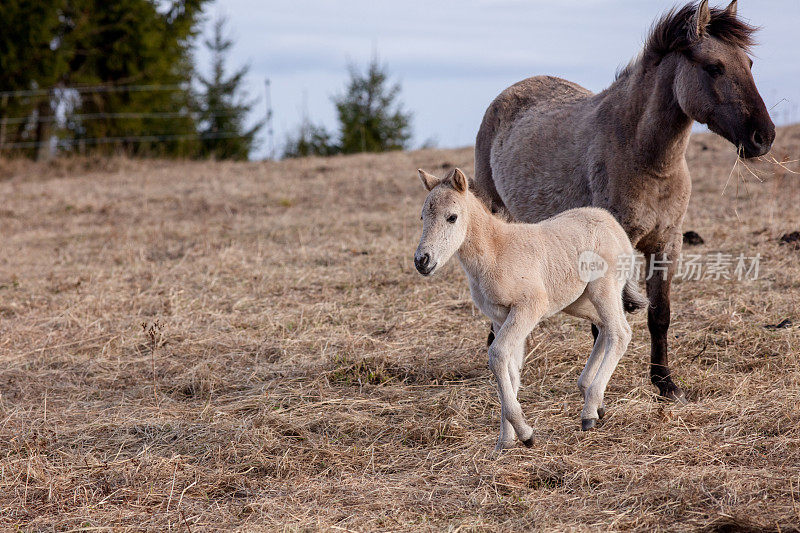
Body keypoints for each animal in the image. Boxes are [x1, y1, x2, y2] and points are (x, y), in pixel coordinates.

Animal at [416, 167, 648, 448]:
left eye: (452, 217)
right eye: (422, 217)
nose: (422, 261)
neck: (496, 252)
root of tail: (613, 224)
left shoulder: (529, 307)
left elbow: (497, 355)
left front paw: (524, 434)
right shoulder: (500, 316)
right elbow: (510, 368)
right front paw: (506, 440)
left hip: (603, 288)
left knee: (620, 332)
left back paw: (590, 410)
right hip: (577, 301)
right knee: (605, 326)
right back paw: (593, 398)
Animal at [476, 0, 776, 400]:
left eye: (750, 64)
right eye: (715, 67)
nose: (764, 137)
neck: (643, 155)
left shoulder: (667, 243)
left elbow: (659, 314)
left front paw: (665, 383)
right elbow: (604, 322)